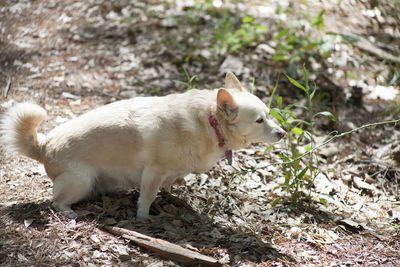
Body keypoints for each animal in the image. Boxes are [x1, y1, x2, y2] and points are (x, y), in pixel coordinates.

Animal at [1, 73, 286, 220]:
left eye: (269, 115)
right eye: (259, 120)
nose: (283, 133)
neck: (209, 120)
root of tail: (44, 145)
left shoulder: (170, 172)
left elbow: (169, 186)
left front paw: (172, 199)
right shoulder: (153, 172)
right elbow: (147, 197)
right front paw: (144, 218)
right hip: (80, 180)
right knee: (56, 201)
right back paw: (69, 212)